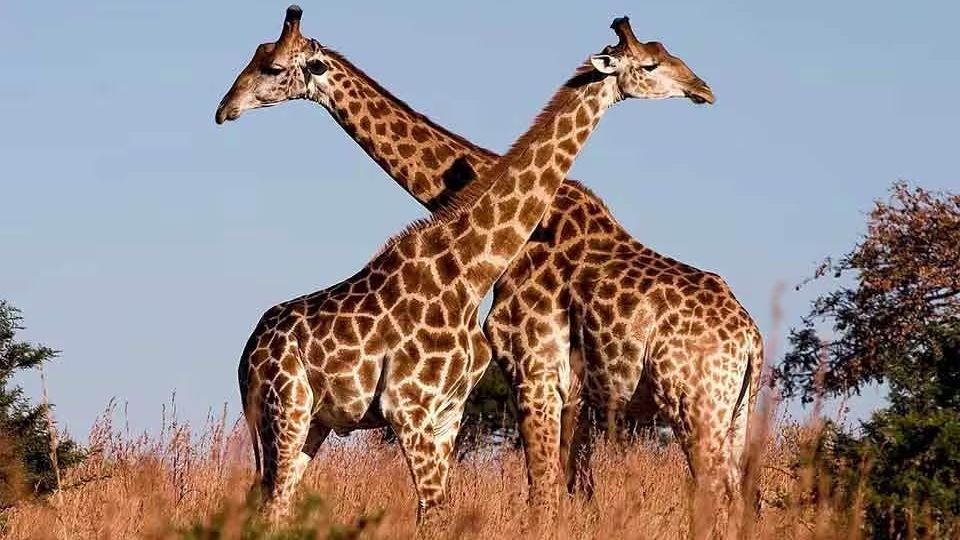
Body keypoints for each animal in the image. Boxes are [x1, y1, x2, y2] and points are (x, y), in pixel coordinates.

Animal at [216, 5, 742, 522]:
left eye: (272, 67)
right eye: (652, 62)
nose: (224, 109)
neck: (467, 262)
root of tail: (752, 340)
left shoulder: (493, 392)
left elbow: (534, 498)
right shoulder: (490, 392)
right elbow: (544, 497)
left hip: (703, 409)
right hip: (291, 412)